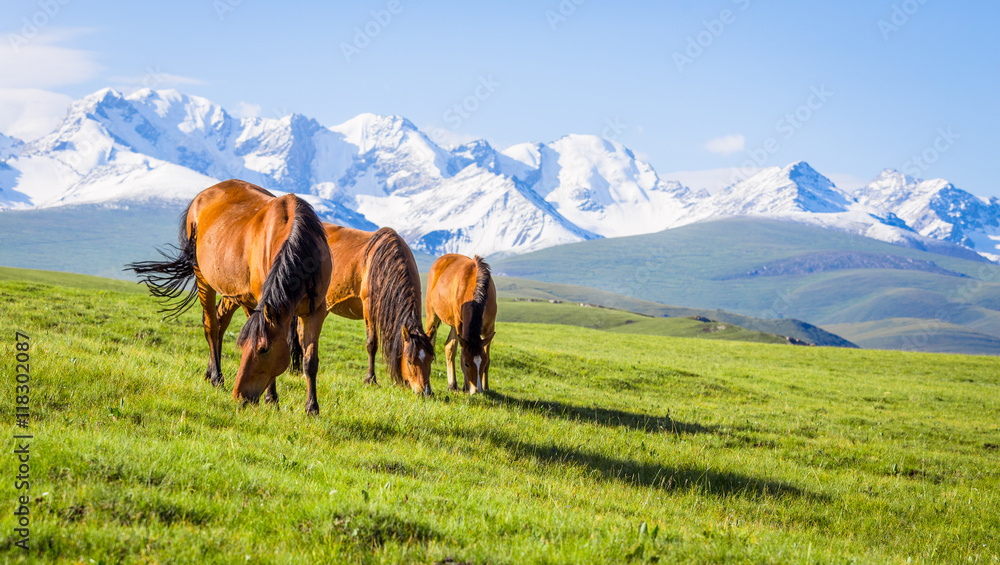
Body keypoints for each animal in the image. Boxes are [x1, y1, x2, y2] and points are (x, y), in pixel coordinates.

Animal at [127, 181, 332, 414]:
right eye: (241, 348)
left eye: (263, 350)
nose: (240, 397)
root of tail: (201, 197)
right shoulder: (259, 302)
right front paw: (272, 399)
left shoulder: (315, 312)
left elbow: (310, 361)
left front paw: (312, 408)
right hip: (204, 278)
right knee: (211, 325)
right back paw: (217, 378)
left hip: (231, 292)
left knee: (220, 322)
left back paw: (210, 373)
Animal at [288, 223, 432, 394]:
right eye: (410, 361)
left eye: (431, 360)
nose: (426, 392)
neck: (384, 266)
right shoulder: (369, 307)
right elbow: (372, 344)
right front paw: (371, 379)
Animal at [426, 253, 496, 394]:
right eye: (466, 364)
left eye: (483, 362)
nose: (477, 390)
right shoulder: (460, 325)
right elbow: (460, 352)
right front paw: (466, 386)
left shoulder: (489, 329)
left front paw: (486, 386)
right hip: (432, 316)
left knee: (448, 347)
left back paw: (452, 384)